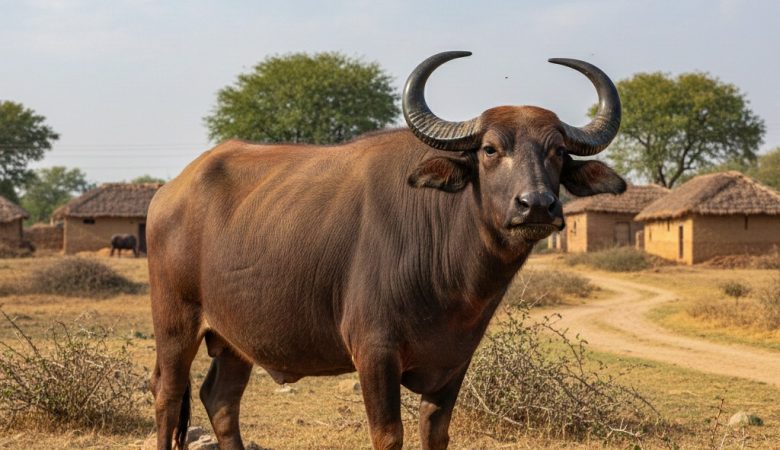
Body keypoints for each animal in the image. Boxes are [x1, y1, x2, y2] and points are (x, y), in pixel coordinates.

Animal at [147, 51, 626, 450]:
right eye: (490, 149)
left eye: (558, 151)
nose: (537, 205)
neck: (451, 277)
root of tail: (168, 193)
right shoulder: (374, 354)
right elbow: (388, 436)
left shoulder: (454, 361)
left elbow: (435, 434)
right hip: (174, 322)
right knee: (167, 395)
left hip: (234, 339)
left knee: (220, 400)